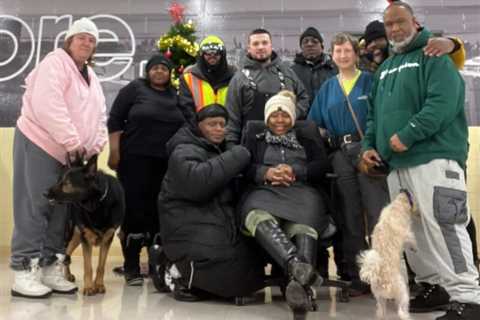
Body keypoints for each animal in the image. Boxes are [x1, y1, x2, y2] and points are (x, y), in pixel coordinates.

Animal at [44, 154, 125, 296]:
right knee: (66, 253)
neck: (96, 204)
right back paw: (66, 276)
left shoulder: (107, 238)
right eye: (59, 180)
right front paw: (89, 287)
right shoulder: (85, 239)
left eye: (66, 183)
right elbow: (88, 267)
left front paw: (99, 285)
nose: (45, 193)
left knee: (67, 254)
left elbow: (100, 266)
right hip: (73, 233)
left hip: (77, 236)